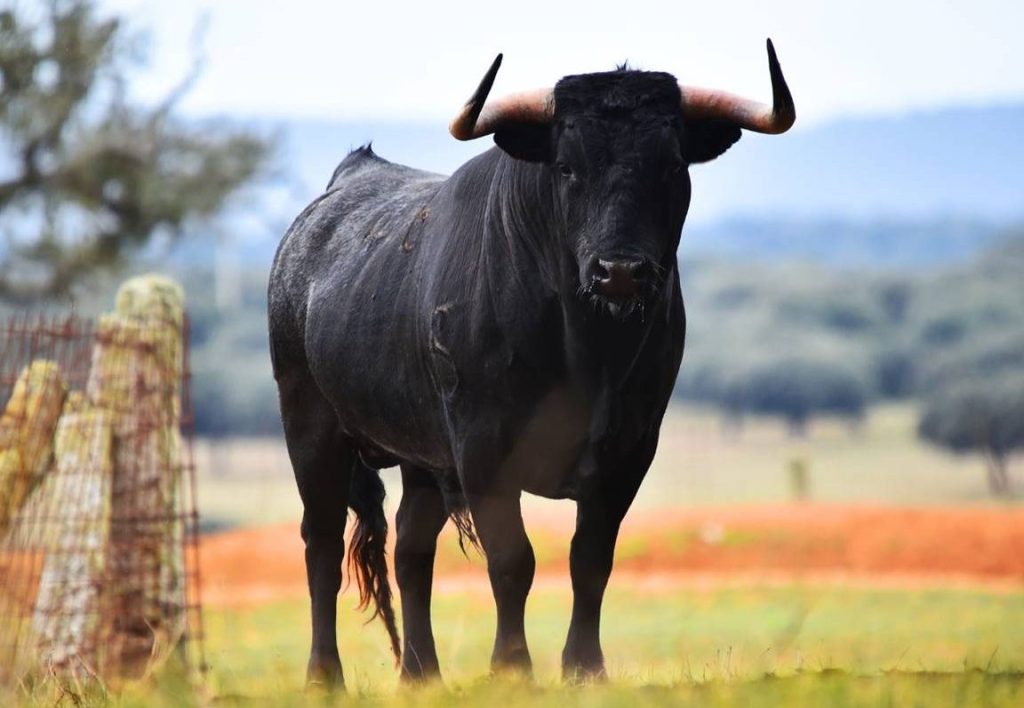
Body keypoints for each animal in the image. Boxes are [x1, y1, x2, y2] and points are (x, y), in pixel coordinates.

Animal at [268, 41, 794, 688]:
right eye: (566, 167)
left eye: (671, 166)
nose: (620, 271)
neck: (587, 353)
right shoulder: (484, 449)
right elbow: (513, 559)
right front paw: (512, 667)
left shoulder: (628, 450)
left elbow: (591, 559)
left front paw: (585, 669)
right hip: (310, 426)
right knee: (320, 542)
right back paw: (325, 676)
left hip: (422, 456)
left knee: (411, 550)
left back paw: (421, 674)